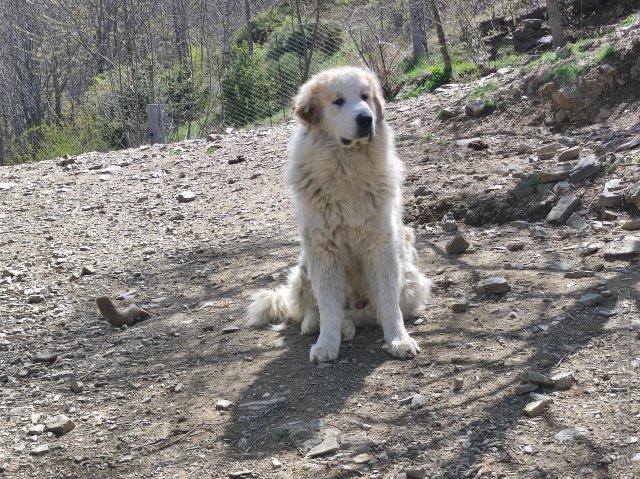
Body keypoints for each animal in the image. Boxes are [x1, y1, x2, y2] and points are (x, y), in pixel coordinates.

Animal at [248, 65, 432, 362]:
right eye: (338, 101)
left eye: (365, 97)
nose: (366, 119)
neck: (346, 165)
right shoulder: (324, 250)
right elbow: (328, 307)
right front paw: (326, 344)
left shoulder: (381, 246)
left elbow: (388, 304)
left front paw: (399, 340)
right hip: (305, 264)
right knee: (315, 310)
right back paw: (320, 324)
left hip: (411, 280)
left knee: (370, 314)